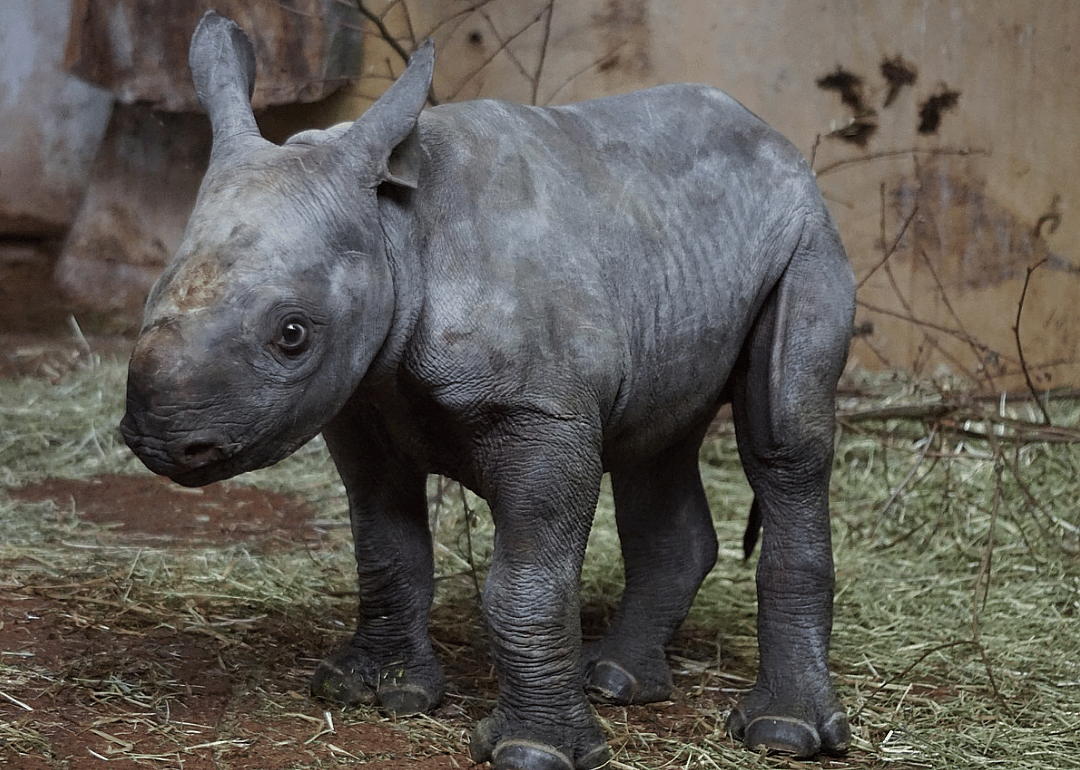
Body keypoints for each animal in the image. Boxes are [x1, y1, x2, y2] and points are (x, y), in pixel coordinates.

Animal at [120, 11, 855, 769]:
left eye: (292, 334)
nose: (161, 441)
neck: (395, 229)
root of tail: (775, 137)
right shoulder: (361, 400)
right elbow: (385, 547)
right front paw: (374, 692)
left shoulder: (541, 413)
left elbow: (526, 583)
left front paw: (535, 751)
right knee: (655, 436)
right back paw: (614, 681)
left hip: (806, 234)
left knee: (783, 443)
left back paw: (781, 732)